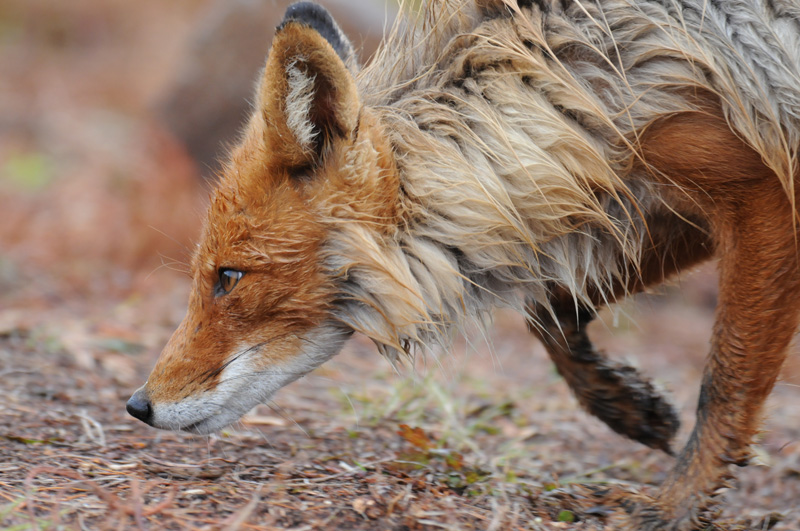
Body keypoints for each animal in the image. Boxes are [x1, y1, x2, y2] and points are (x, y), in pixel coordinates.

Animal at [128, 2, 800, 528]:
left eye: (228, 277)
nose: (138, 405)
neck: (578, 68)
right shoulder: (641, 195)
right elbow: (550, 310)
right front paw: (623, 402)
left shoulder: (762, 193)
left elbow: (725, 382)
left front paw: (674, 507)